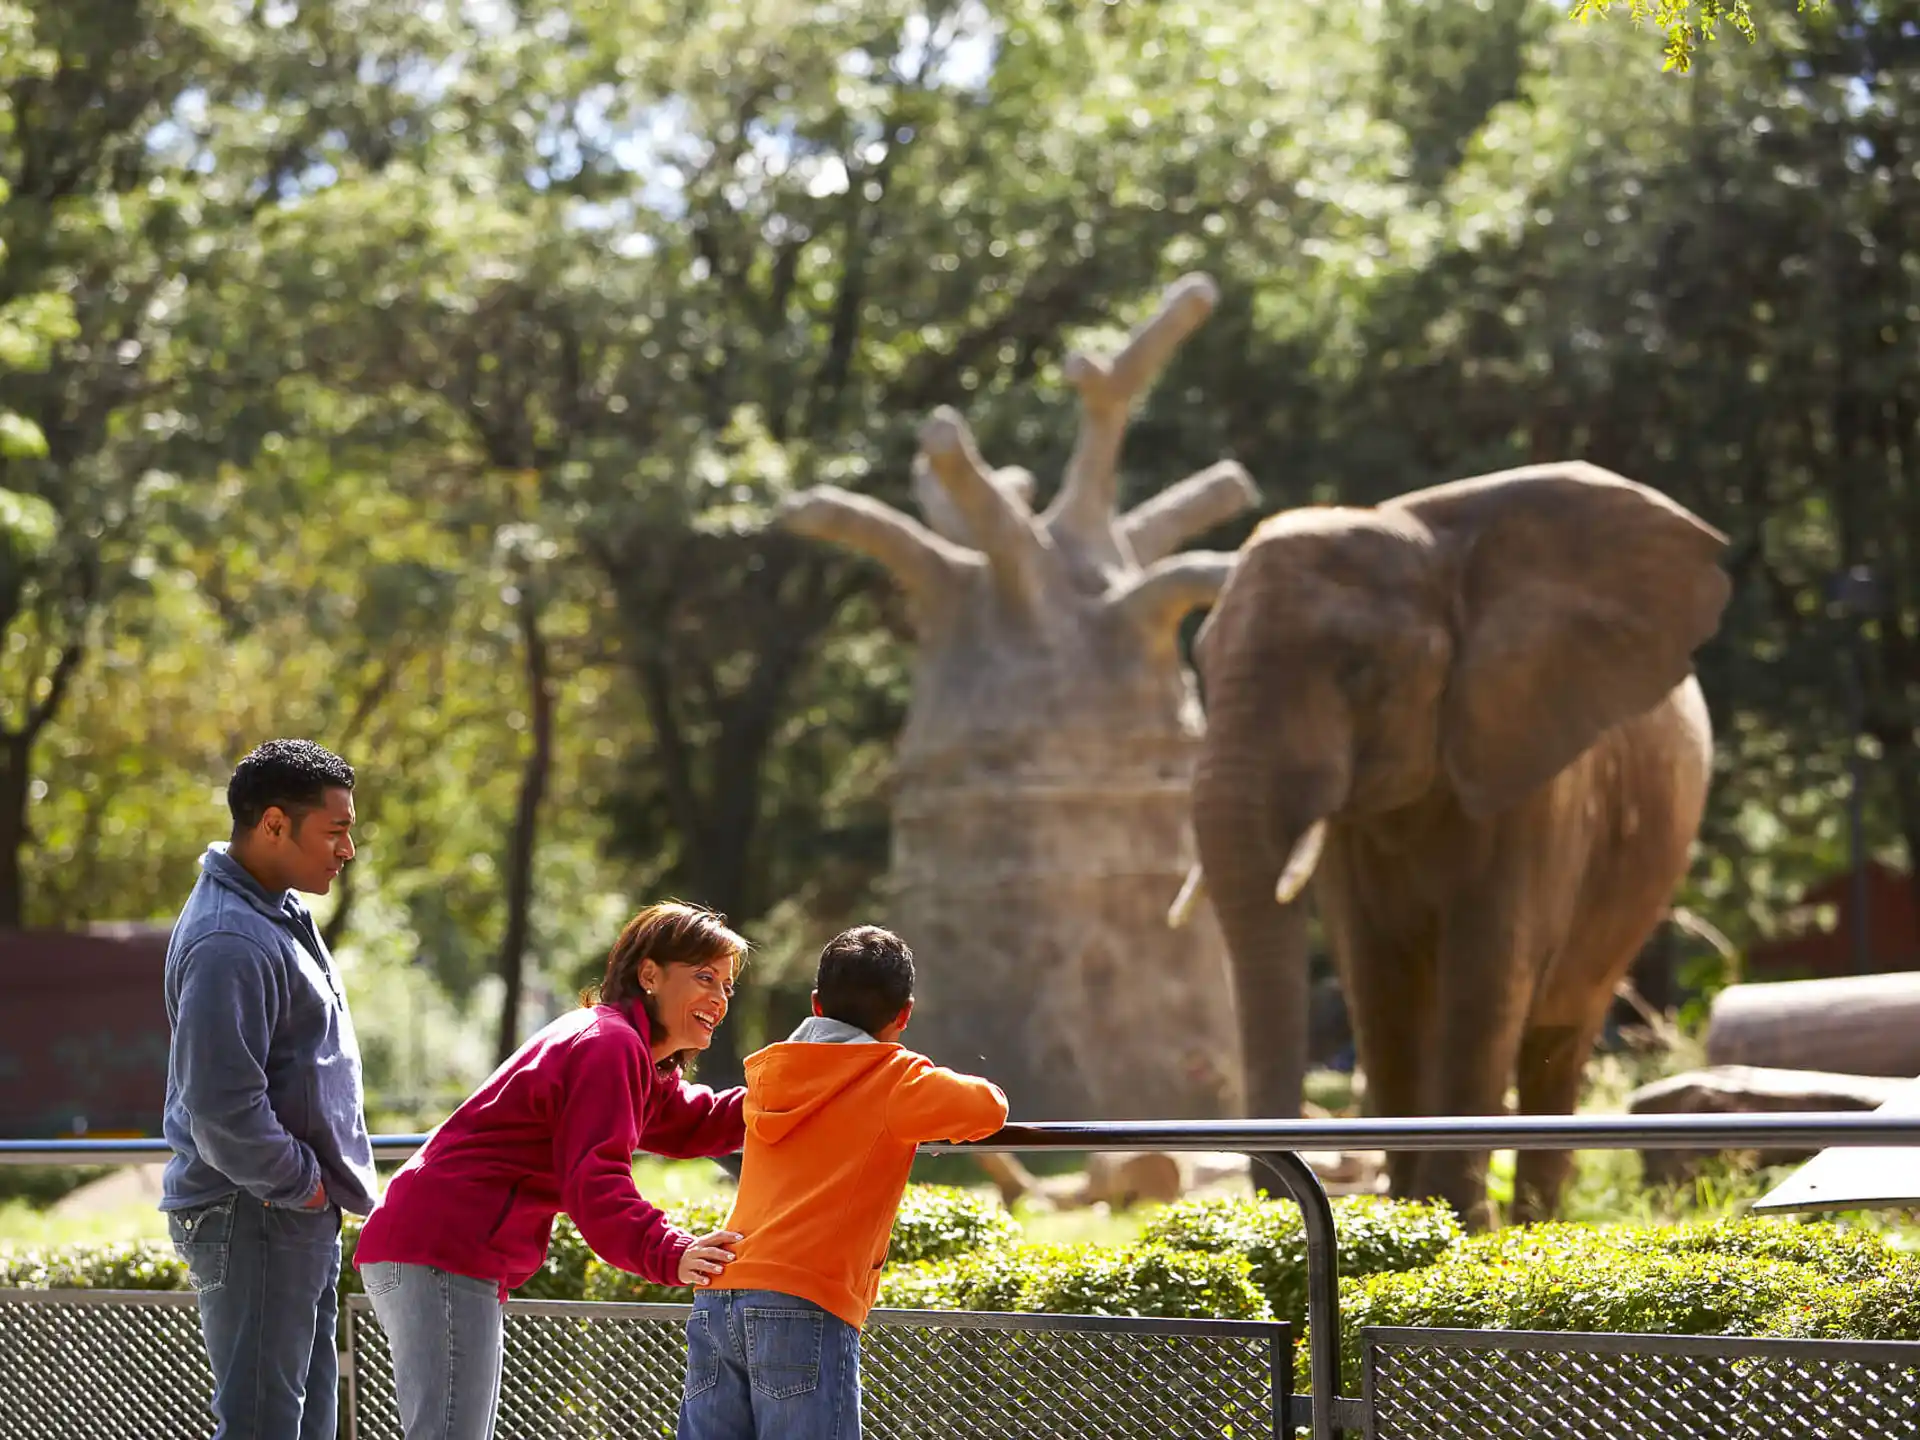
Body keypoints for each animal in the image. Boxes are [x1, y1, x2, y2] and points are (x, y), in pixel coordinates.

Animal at [1171, 462, 1730, 1228]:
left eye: (1358, 668)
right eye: (1200, 661)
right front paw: (1409, 1216)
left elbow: (1486, 972)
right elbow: (1376, 982)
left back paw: (1534, 1225)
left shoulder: (1532, 767)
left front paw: (1454, 1222)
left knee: (1559, 1035)